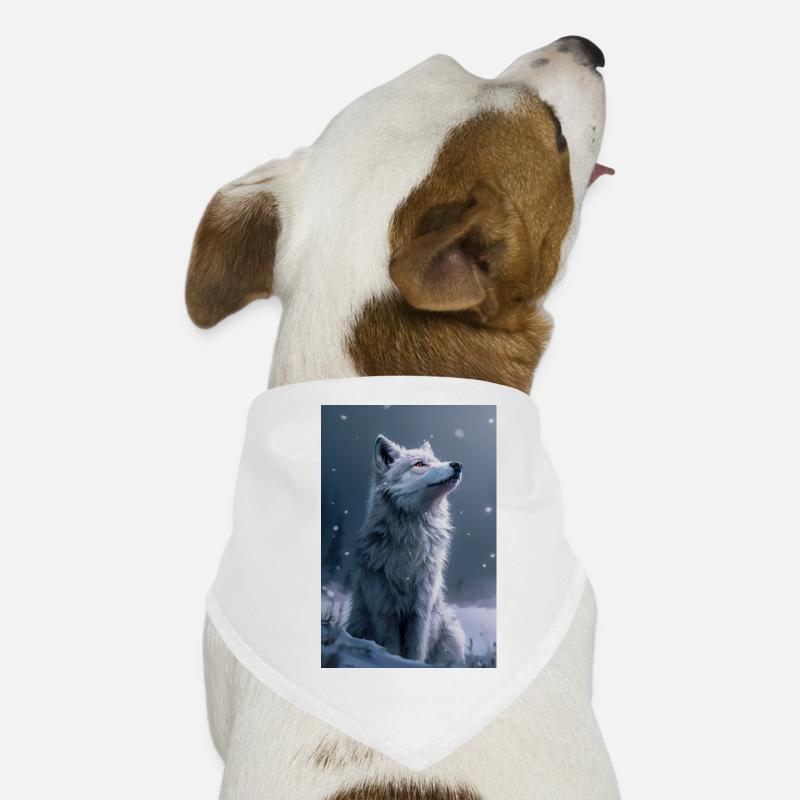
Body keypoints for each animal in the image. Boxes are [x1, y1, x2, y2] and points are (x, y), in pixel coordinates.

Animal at [347, 434, 466, 665]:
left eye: (436, 460)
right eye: (420, 464)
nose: (457, 465)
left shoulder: (420, 610)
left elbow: (416, 651)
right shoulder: (384, 610)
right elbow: (391, 649)